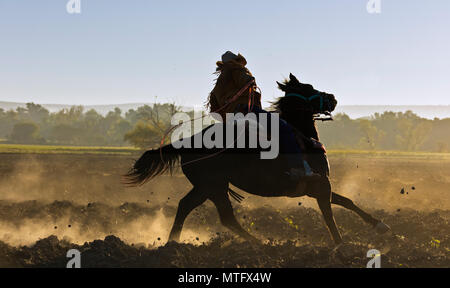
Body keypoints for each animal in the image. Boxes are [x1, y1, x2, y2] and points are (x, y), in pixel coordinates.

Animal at [124, 73, 390, 244]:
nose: (332, 98)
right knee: (223, 216)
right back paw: (260, 243)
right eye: (308, 88)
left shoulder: (317, 187)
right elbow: (331, 214)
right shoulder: (319, 186)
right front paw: (341, 248)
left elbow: (347, 201)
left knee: (188, 208)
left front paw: (380, 225)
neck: (303, 138)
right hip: (212, 186)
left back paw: (172, 243)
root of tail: (185, 143)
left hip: (208, 187)